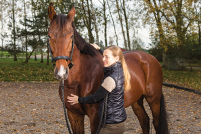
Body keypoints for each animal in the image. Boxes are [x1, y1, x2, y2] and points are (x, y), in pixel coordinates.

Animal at [47, 3, 168, 134]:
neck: (80, 79)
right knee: (144, 120)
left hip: (154, 99)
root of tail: (151, 58)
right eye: (49, 36)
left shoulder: (96, 118)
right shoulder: (74, 115)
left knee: (156, 123)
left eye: (71, 36)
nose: (61, 72)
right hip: (136, 100)